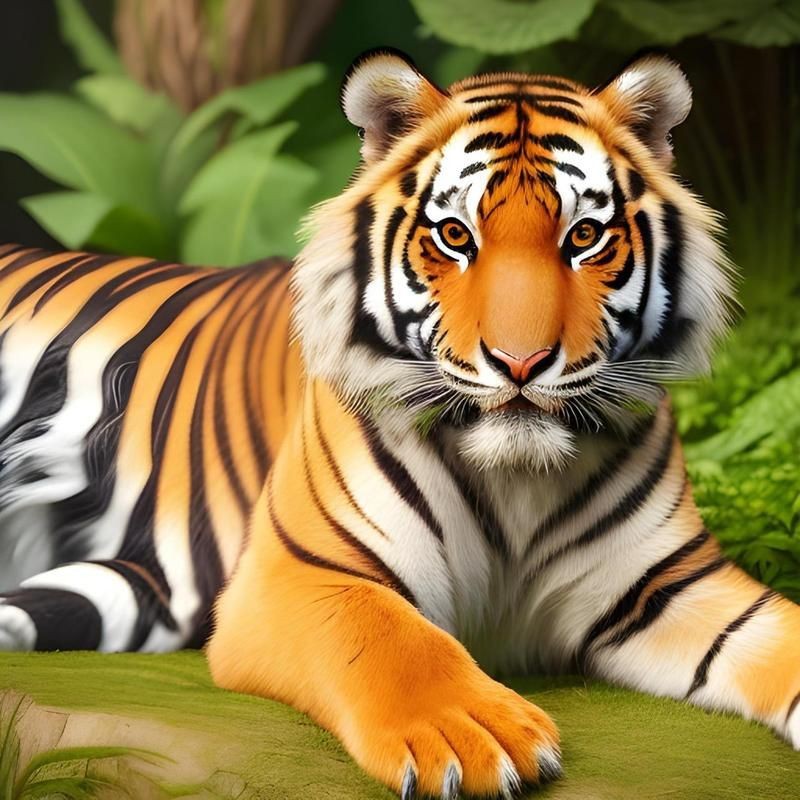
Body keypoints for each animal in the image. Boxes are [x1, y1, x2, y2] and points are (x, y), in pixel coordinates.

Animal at [0, 47, 798, 799]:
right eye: (454, 235)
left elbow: (781, 635)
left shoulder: (668, 582)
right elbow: (386, 636)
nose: (521, 361)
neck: (516, 480)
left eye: (584, 236)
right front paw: (473, 735)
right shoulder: (299, 573)